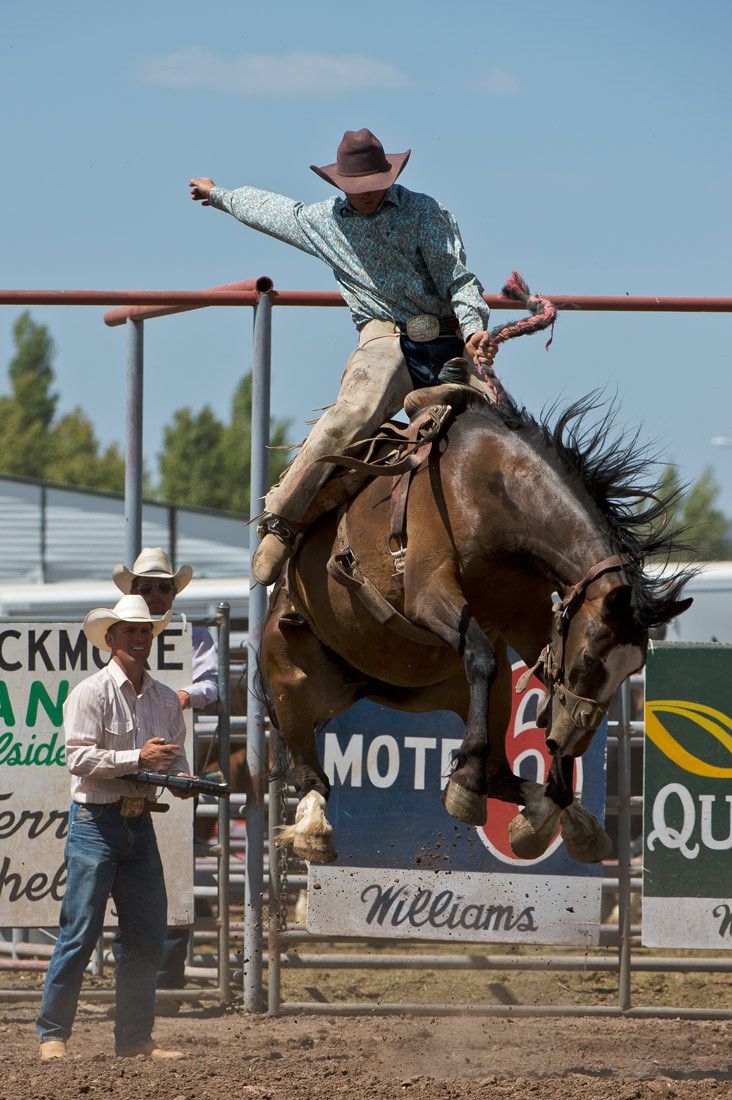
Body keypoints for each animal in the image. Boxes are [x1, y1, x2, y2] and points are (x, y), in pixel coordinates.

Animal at [261, 387, 692, 865]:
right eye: (590, 657)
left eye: (632, 671)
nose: (572, 744)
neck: (492, 488)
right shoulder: (429, 591)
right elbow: (483, 656)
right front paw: (466, 787)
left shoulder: (527, 616)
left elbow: (548, 677)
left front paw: (554, 796)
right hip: (291, 683)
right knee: (309, 773)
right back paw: (314, 828)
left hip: (460, 692)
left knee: (501, 773)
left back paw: (552, 818)